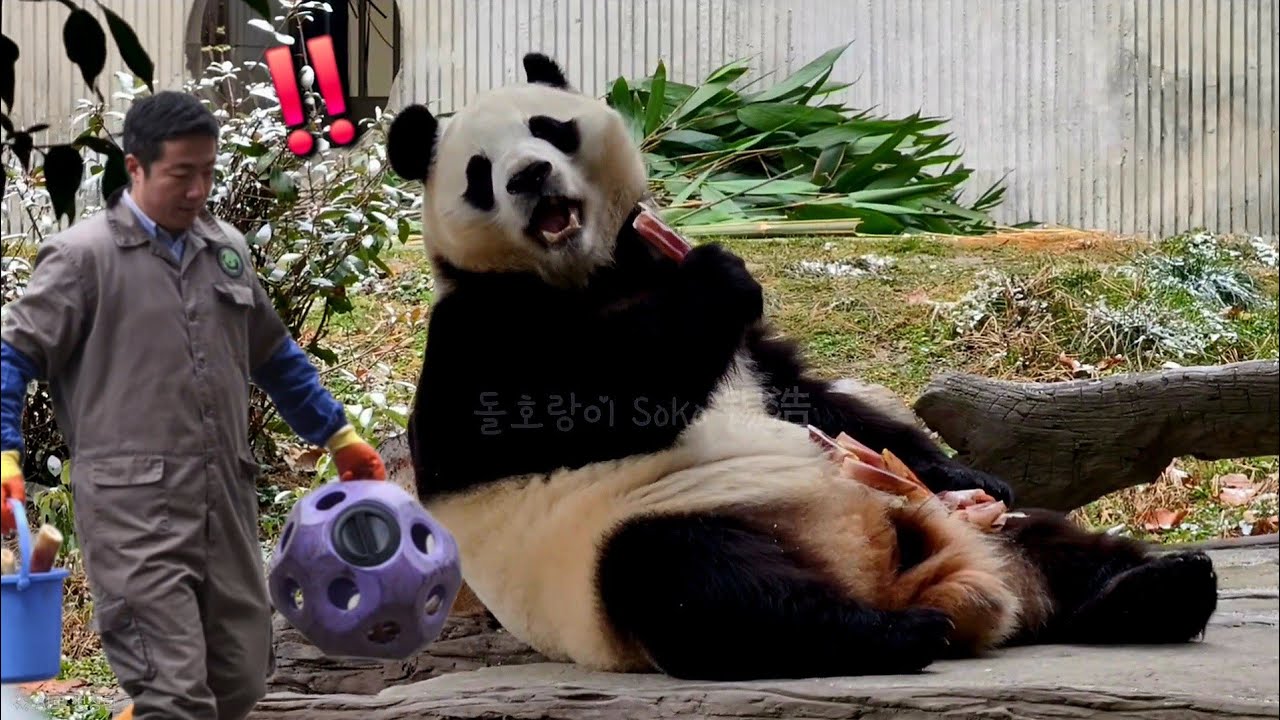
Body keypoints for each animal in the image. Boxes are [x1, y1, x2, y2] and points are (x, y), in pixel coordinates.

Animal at [384, 52, 1220, 681]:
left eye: (550, 129)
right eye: (481, 172)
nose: (529, 177)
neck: (592, 274)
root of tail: (919, 578)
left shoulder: (740, 346)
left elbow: (809, 397)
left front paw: (968, 468)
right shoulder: (480, 330)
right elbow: (555, 411)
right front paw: (718, 276)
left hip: (969, 526)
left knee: (1054, 541)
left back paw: (1161, 585)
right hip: (633, 544)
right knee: (699, 585)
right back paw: (896, 635)